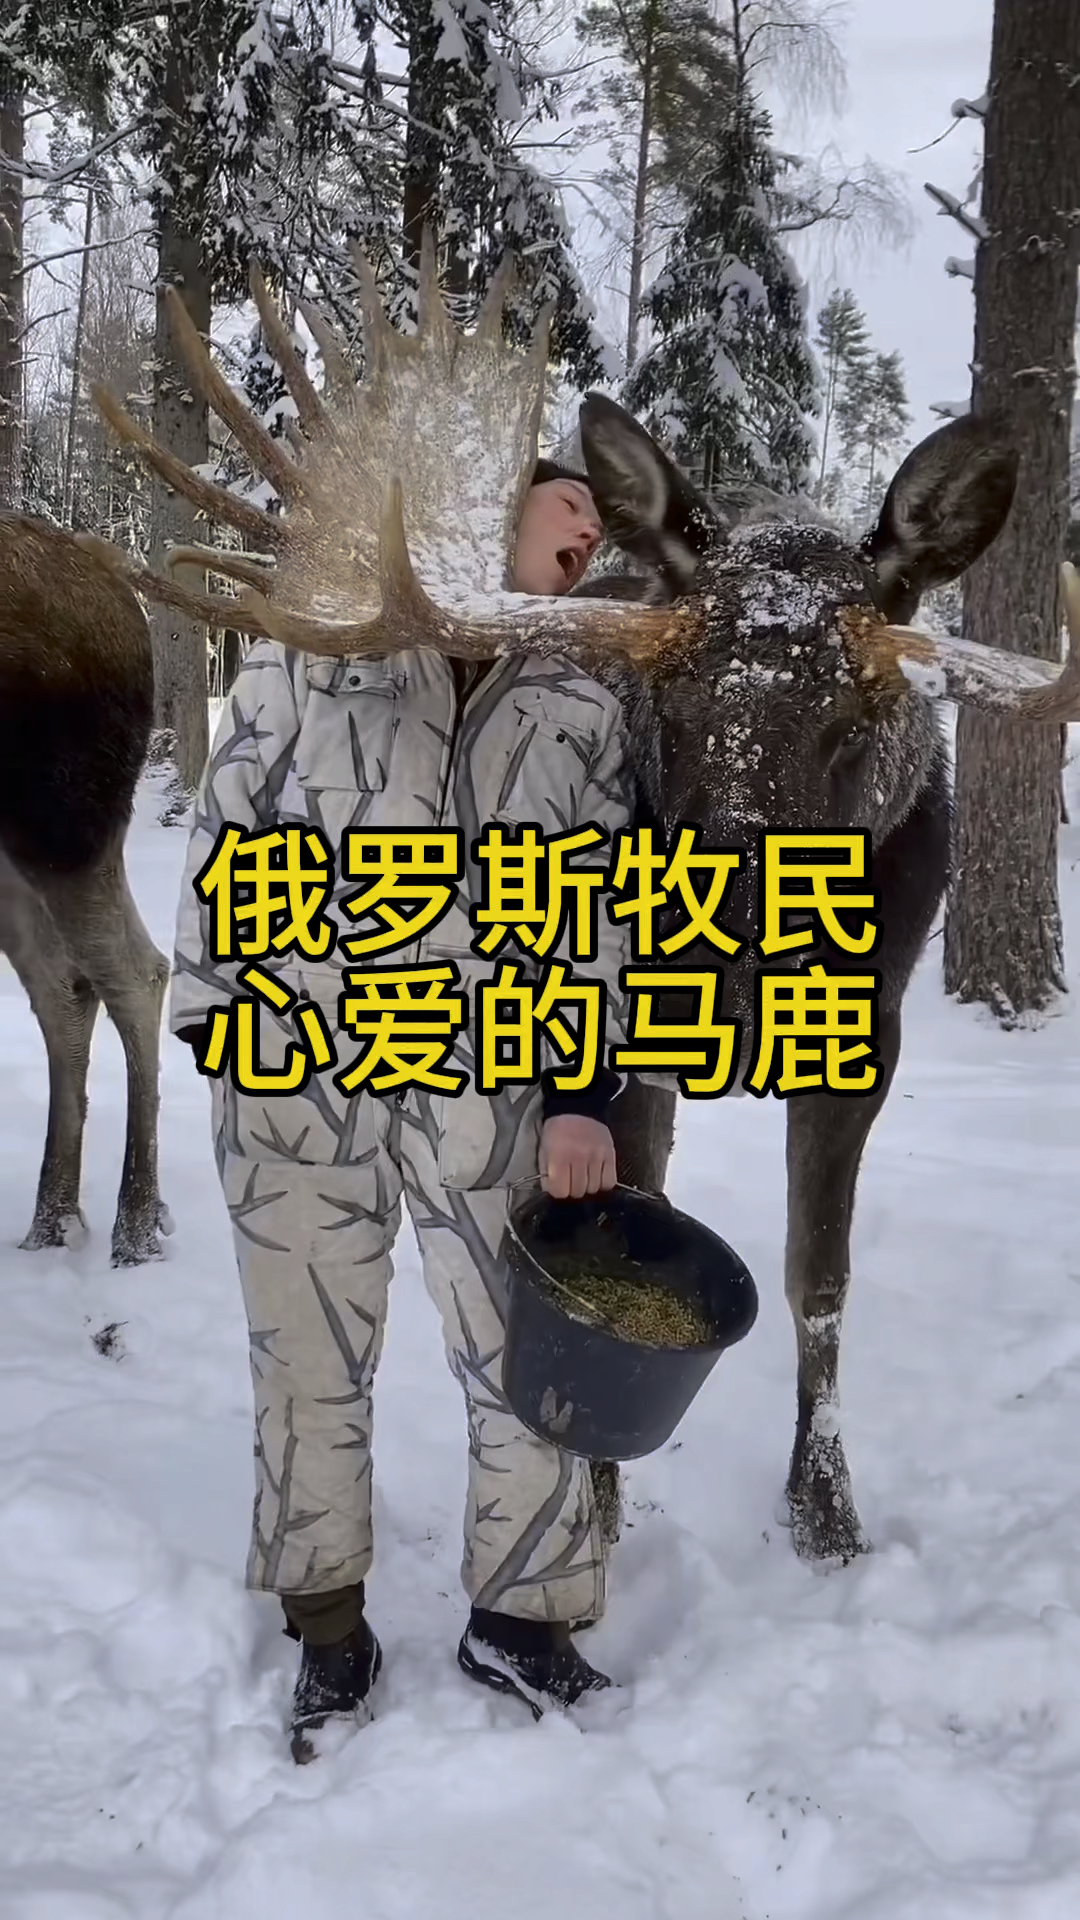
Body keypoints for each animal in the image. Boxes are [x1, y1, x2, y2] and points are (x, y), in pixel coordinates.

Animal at [76, 229, 1080, 1563]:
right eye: (670, 706)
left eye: (860, 716)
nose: (722, 964)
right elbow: (632, 1205)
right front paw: (599, 1500)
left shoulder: (874, 1030)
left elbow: (818, 1277)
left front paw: (826, 1507)